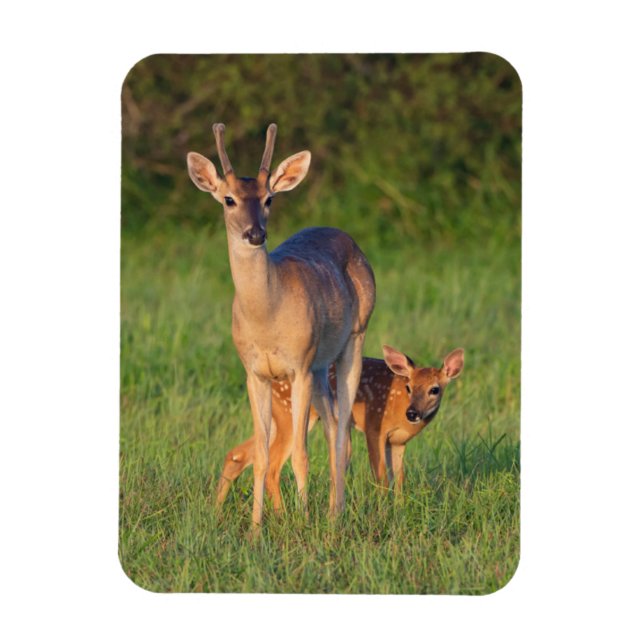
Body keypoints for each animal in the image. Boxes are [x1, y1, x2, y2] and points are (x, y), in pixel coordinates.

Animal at [186, 123, 376, 528]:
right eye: (228, 199)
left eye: (269, 199)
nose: (256, 234)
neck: (266, 318)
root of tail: (348, 238)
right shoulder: (254, 372)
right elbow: (261, 456)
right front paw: (256, 528)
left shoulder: (298, 365)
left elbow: (302, 456)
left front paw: (302, 525)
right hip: (319, 366)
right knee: (334, 426)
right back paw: (333, 512)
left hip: (354, 338)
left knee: (341, 432)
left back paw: (335, 516)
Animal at [215, 345, 464, 508]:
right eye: (409, 387)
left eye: (434, 389)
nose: (412, 413)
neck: (399, 408)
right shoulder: (375, 427)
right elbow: (381, 476)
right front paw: (384, 510)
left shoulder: (398, 442)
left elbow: (399, 478)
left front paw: (400, 508)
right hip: (291, 415)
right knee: (272, 466)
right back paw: (281, 515)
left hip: (278, 418)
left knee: (239, 454)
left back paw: (216, 510)